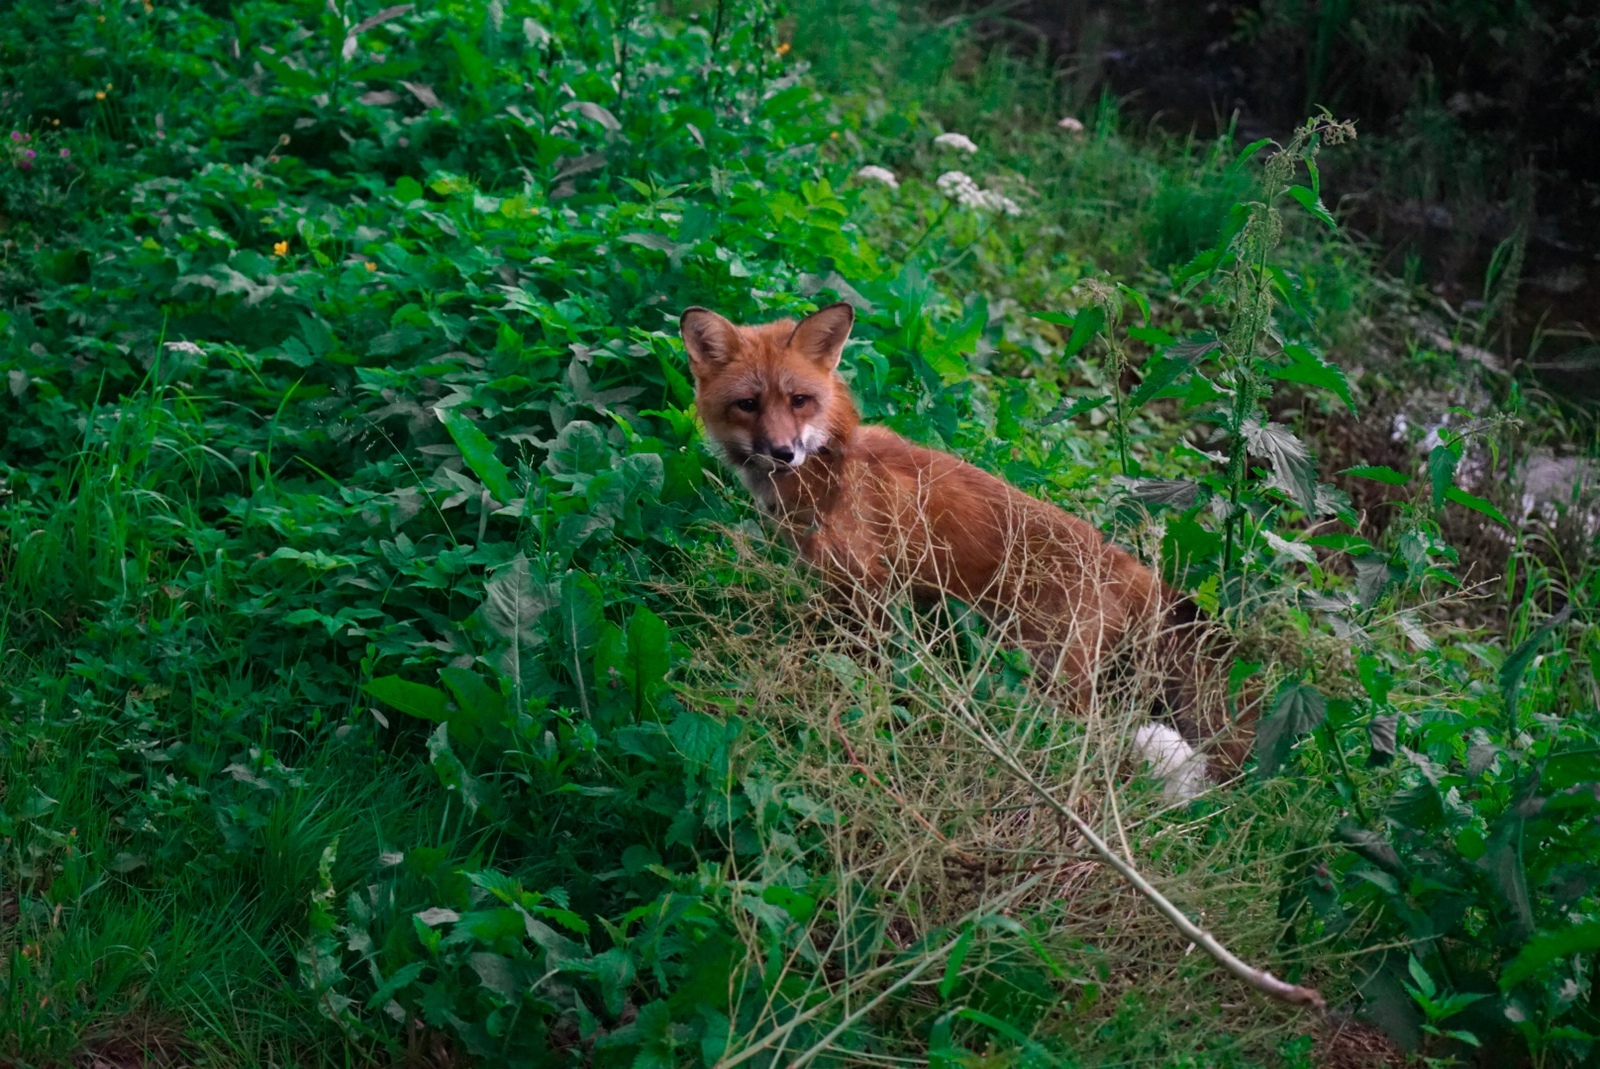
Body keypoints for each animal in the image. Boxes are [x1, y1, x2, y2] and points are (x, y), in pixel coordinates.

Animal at [678, 300, 1248, 793]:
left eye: (800, 400)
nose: (783, 452)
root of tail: (1128, 564)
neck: (830, 469)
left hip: (1052, 675)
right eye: (748, 404)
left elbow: (858, 675)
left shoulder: (869, 591)